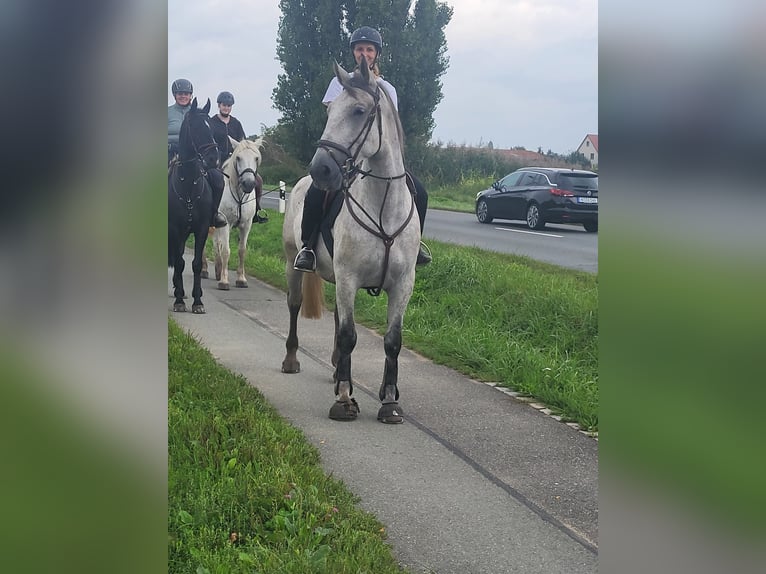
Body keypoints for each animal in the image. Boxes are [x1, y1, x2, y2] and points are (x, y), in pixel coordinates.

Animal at [284, 60, 424, 426]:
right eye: (330, 110)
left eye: (359, 111)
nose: (320, 169)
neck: (383, 207)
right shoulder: (349, 278)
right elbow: (349, 336)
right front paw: (345, 400)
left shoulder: (402, 285)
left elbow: (392, 341)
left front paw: (389, 401)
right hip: (294, 263)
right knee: (294, 305)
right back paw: (292, 359)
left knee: (336, 318)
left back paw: (336, 371)